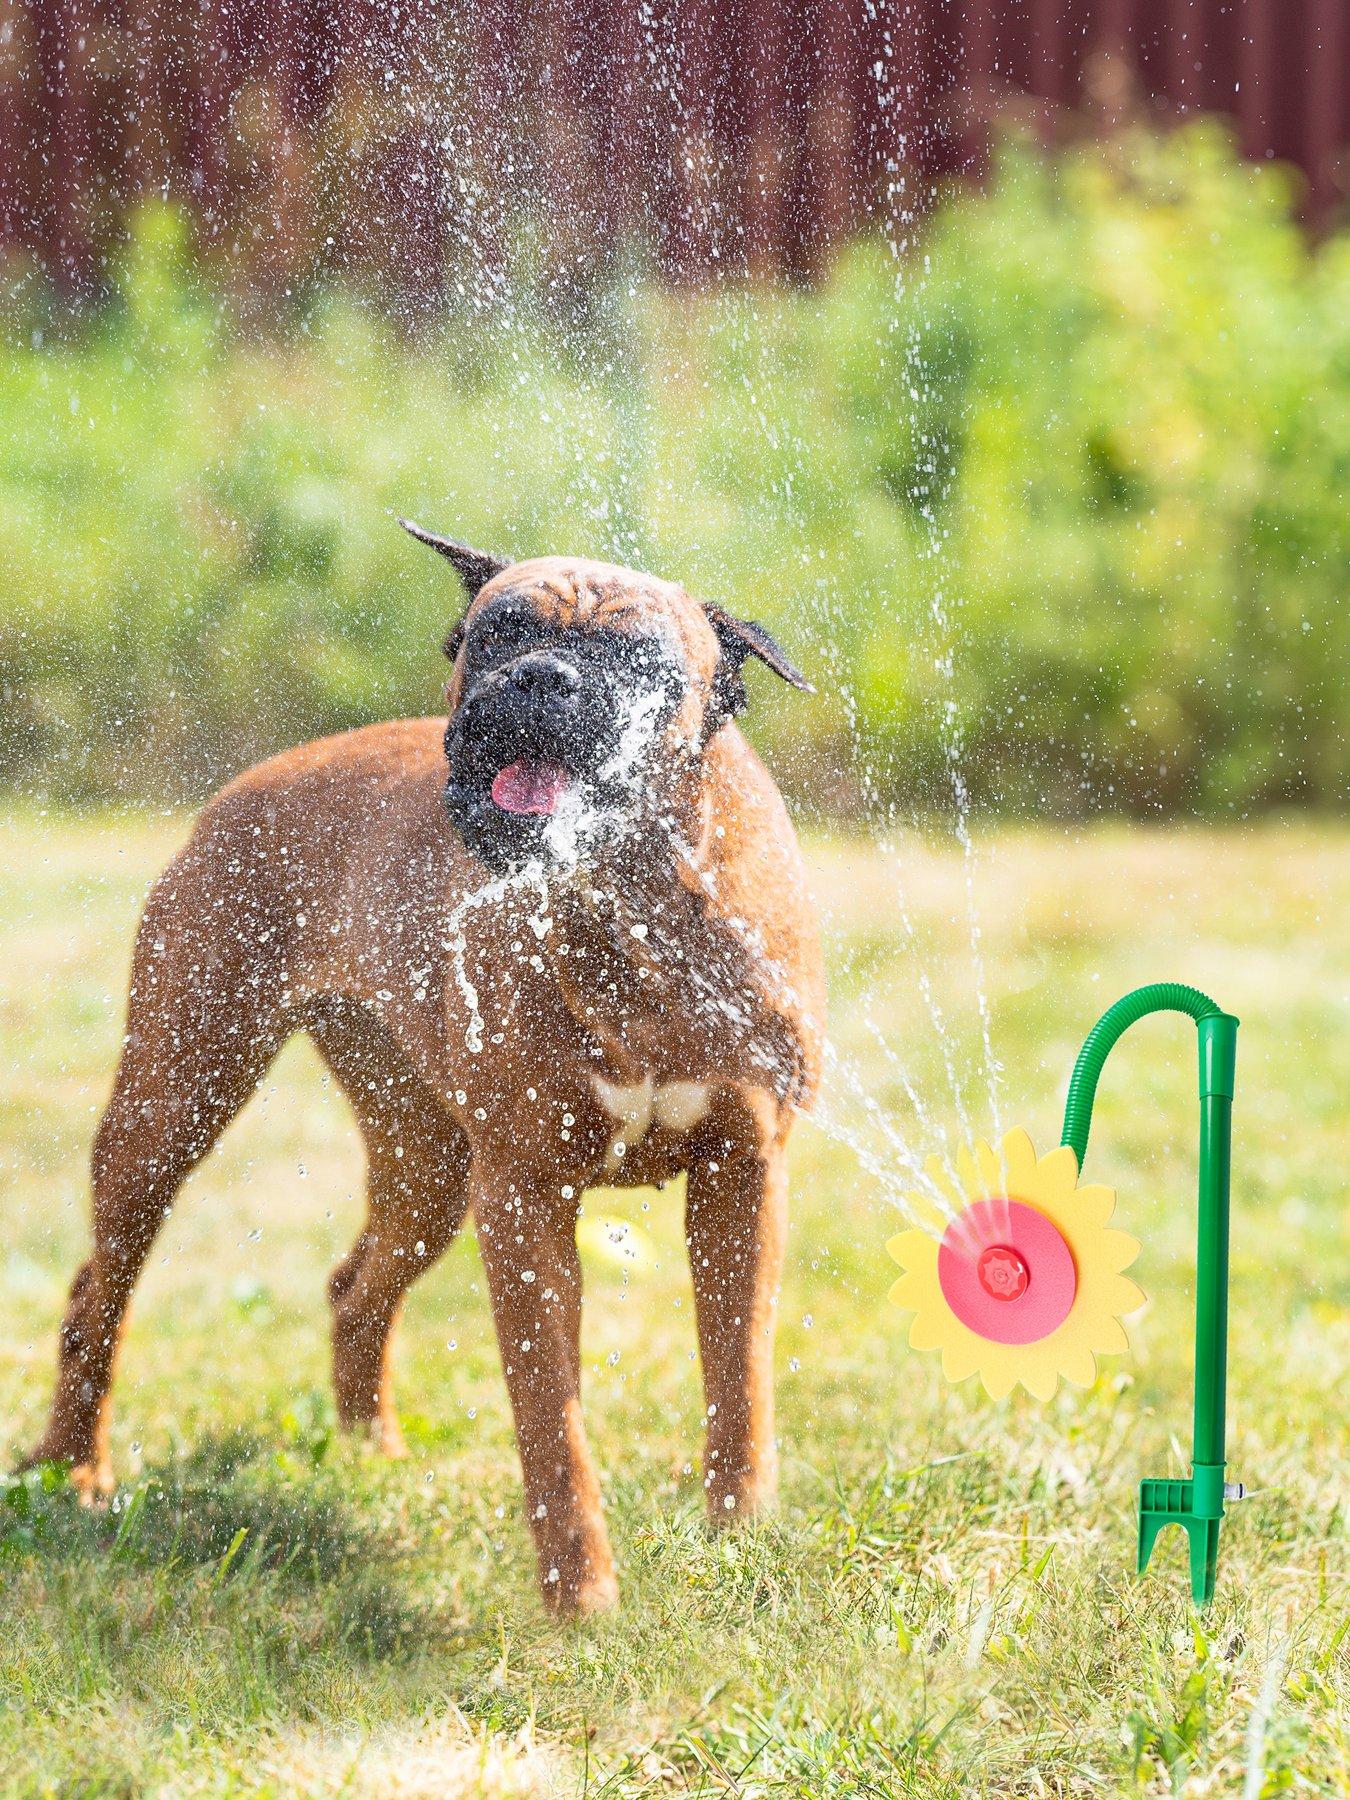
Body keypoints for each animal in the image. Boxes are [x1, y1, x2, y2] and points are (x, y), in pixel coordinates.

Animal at [26, 525, 831, 1620]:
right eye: (496, 633)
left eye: (639, 658)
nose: (540, 676)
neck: (624, 901)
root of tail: (250, 783)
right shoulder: (525, 1197)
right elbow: (551, 1419)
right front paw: (581, 1596)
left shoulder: (742, 1176)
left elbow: (738, 1372)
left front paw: (740, 1530)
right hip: (173, 1104)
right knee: (96, 1294)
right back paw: (73, 1468)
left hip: (426, 1172)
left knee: (354, 1287)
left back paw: (368, 1453)